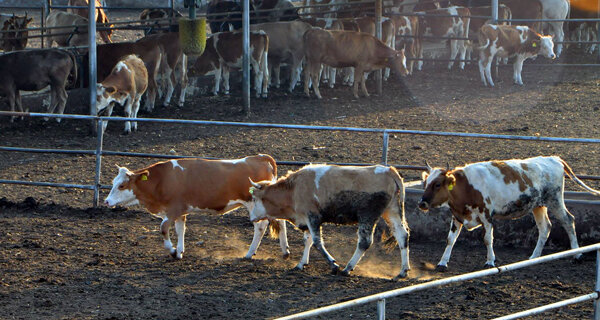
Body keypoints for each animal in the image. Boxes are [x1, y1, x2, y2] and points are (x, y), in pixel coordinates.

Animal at [103, 155, 290, 262]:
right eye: (113, 182)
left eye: (121, 185)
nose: (106, 201)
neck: (162, 180)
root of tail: (261, 158)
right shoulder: (180, 212)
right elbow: (180, 229)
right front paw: (179, 251)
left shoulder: (173, 210)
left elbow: (163, 228)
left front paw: (172, 251)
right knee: (281, 222)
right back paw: (285, 250)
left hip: (254, 203)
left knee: (260, 226)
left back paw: (250, 253)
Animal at [246, 165, 410, 280]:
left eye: (254, 198)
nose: (251, 218)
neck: (294, 190)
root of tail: (389, 171)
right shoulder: (307, 220)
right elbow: (308, 241)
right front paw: (301, 264)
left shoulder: (313, 217)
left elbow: (317, 242)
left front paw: (334, 265)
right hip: (392, 211)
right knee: (402, 236)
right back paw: (402, 271)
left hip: (368, 215)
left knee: (365, 242)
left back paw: (347, 268)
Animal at [418, 156, 600, 272]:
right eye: (425, 183)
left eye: (438, 184)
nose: (422, 203)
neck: (466, 186)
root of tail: (554, 158)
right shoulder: (457, 216)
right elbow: (450, 240)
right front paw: (442, 263)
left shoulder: (487, 215)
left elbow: (487, 239)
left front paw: (490, 261)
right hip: (538, 205)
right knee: (545, 228)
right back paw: (534, 256)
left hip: (555, 200)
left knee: (568, 221)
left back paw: (577, 254)